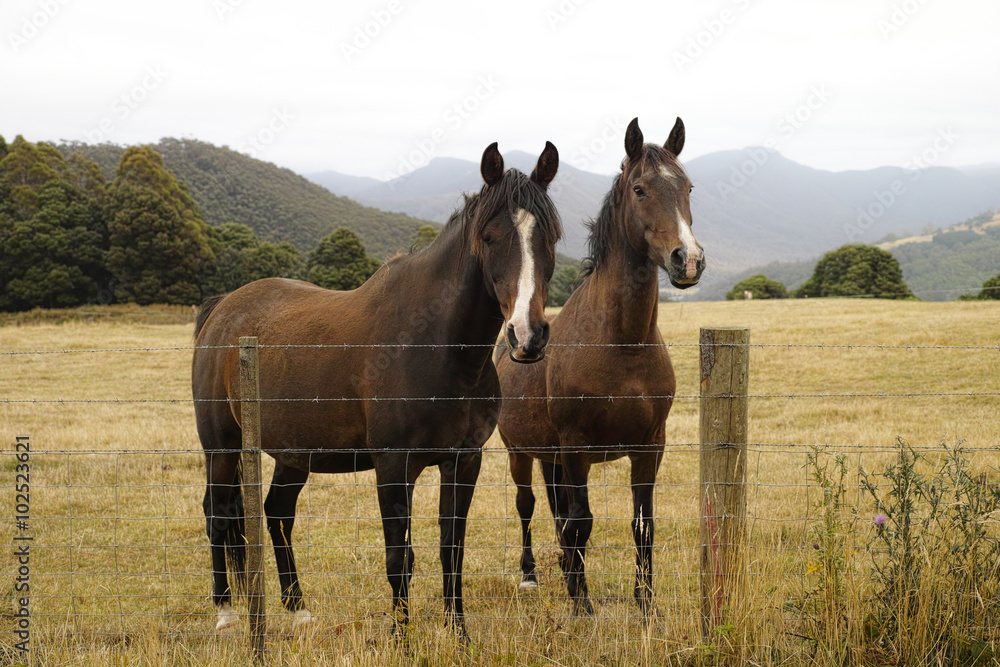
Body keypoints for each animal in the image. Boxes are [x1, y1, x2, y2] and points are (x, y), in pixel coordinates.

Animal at [192, 141, 562, 639]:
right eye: (488, 237)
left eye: (550, 237)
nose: (528, 336)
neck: (434, 345)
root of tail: (222, 309)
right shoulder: (393, 466)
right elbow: (398, 558)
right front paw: (401, 638)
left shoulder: (464, 461)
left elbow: (451, 550)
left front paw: (459, 634)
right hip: (222, 447)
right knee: (219, 512)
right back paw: (226, 612)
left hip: (294, 452)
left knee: (278, 512)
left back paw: (297, 607)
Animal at [494, 117, 704, 617]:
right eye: (641, 189)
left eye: (688, 187)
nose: (687, 260)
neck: (621, 345)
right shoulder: (576, 448)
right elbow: (582, 522)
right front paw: (582, 603)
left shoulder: (650, 447)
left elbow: (641, 525)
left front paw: (645, 603)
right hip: (520, 453)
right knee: (528, 505)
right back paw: (532, 575)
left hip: (550, 457)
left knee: (556, 511)